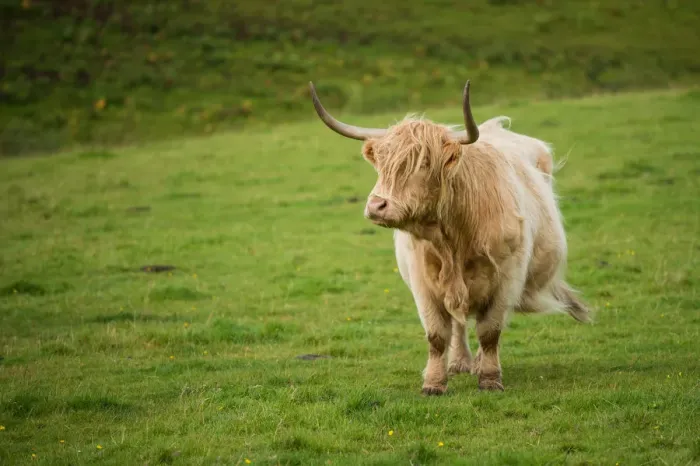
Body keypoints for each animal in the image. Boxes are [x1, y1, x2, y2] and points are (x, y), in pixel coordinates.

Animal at [309, 80, 590, 395]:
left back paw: (477, 363)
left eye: (423, 163)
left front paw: (490, 378)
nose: (376, 206)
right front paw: (434, 383)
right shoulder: (423, 283)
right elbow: (437, 334)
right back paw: (459, 363)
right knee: (458, 324)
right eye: (380, 163)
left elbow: (490, 331)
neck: (453, 239)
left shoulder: (507, 278)